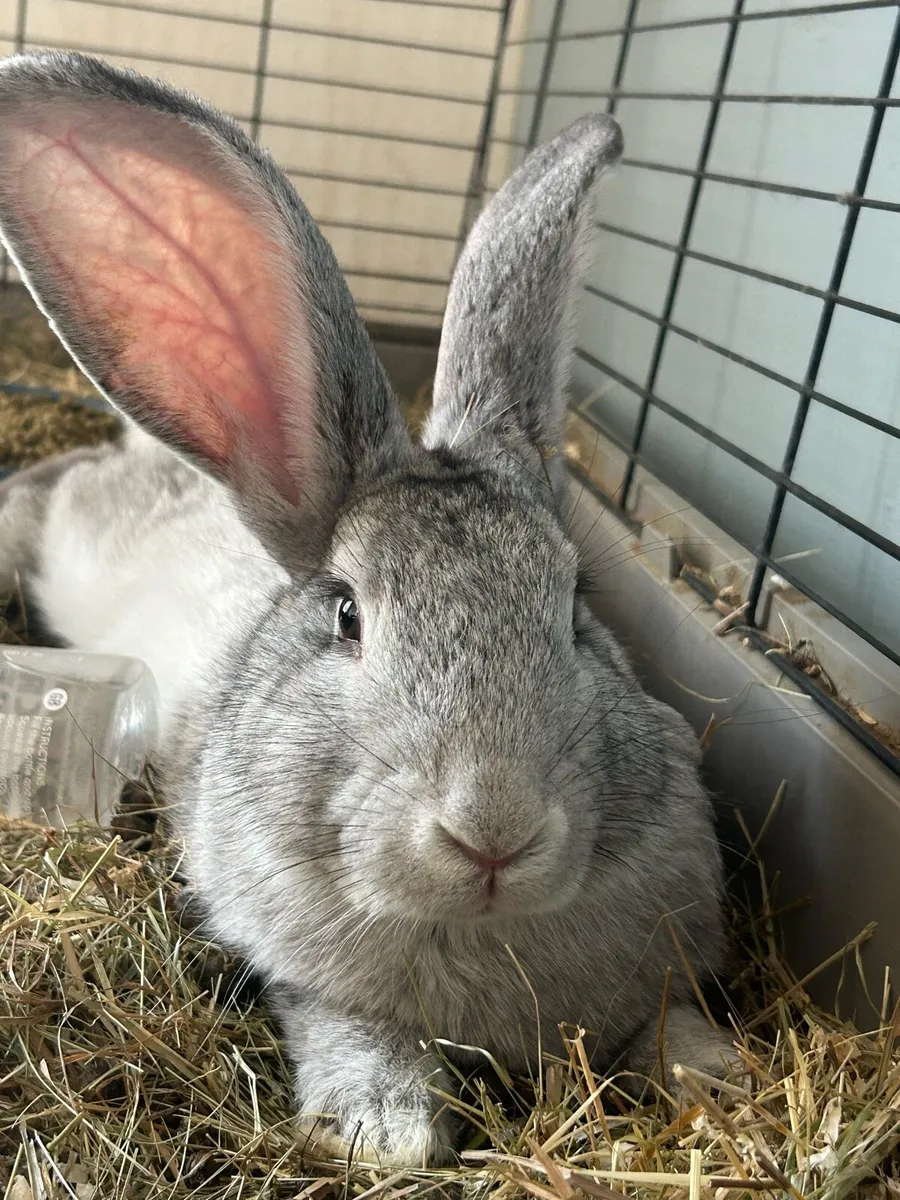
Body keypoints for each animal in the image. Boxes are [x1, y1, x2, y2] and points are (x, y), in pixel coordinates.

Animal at [0, 51, 735, 1166]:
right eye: (347, 614)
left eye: (575, 606)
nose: (493, 830)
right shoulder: (306, 982)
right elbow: (353, 1035)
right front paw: (383, 1132)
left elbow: (668, 1027)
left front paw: (722, 1076)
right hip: (78, 528)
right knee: (44, 491)